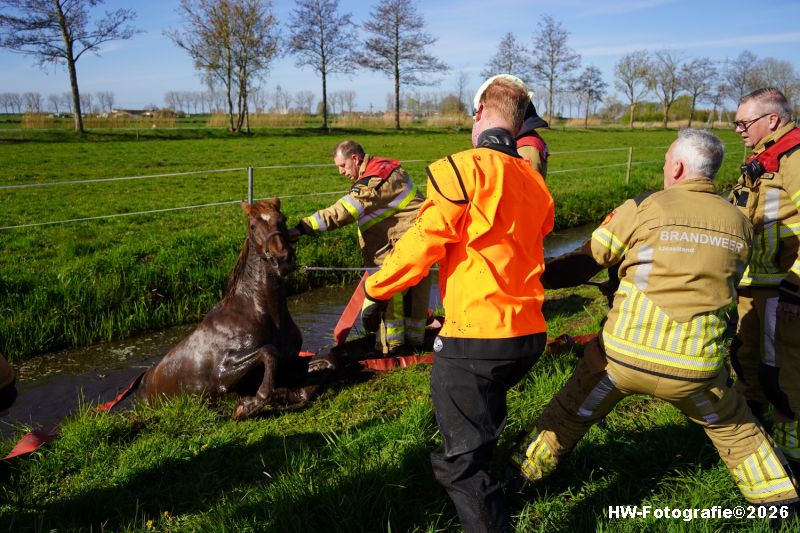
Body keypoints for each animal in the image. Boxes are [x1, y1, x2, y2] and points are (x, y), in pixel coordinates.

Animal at [137, 198, 336, 420]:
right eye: (253, 226)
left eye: (283, 219)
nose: (282, 259)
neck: (261, 312)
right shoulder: (223, 375)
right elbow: (268, 352)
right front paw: (250, 403)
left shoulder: (289, 363)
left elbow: (328, 363)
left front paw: (286, 394)